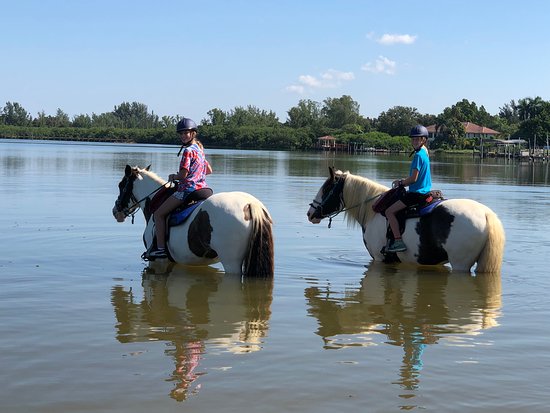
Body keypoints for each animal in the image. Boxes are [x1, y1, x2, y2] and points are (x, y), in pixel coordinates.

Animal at [112, 164, 276, 276]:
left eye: (121, 185)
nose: (115, 211)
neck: (156, 201)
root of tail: (250, 204)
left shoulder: (157, 261)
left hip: (232, 263)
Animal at [308, 166, 506, 272]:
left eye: (326, 189)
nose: (310, 213)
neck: (373, 211)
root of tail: (486, 214)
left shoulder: (379, 258)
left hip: (460, 264)